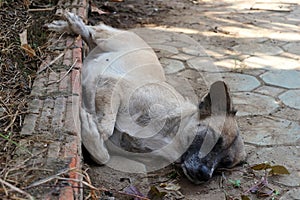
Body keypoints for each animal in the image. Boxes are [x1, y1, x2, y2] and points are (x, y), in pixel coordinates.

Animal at [45, 12, 245, 184]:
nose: (204, 175)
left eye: (225, 164)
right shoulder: (114, 85)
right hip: (110, 40)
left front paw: (91, 134)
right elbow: (106, 127)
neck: (169, 136)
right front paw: (93, 125)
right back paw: (72, 24)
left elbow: (103, 156)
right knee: (90, 31)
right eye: (212, 140)